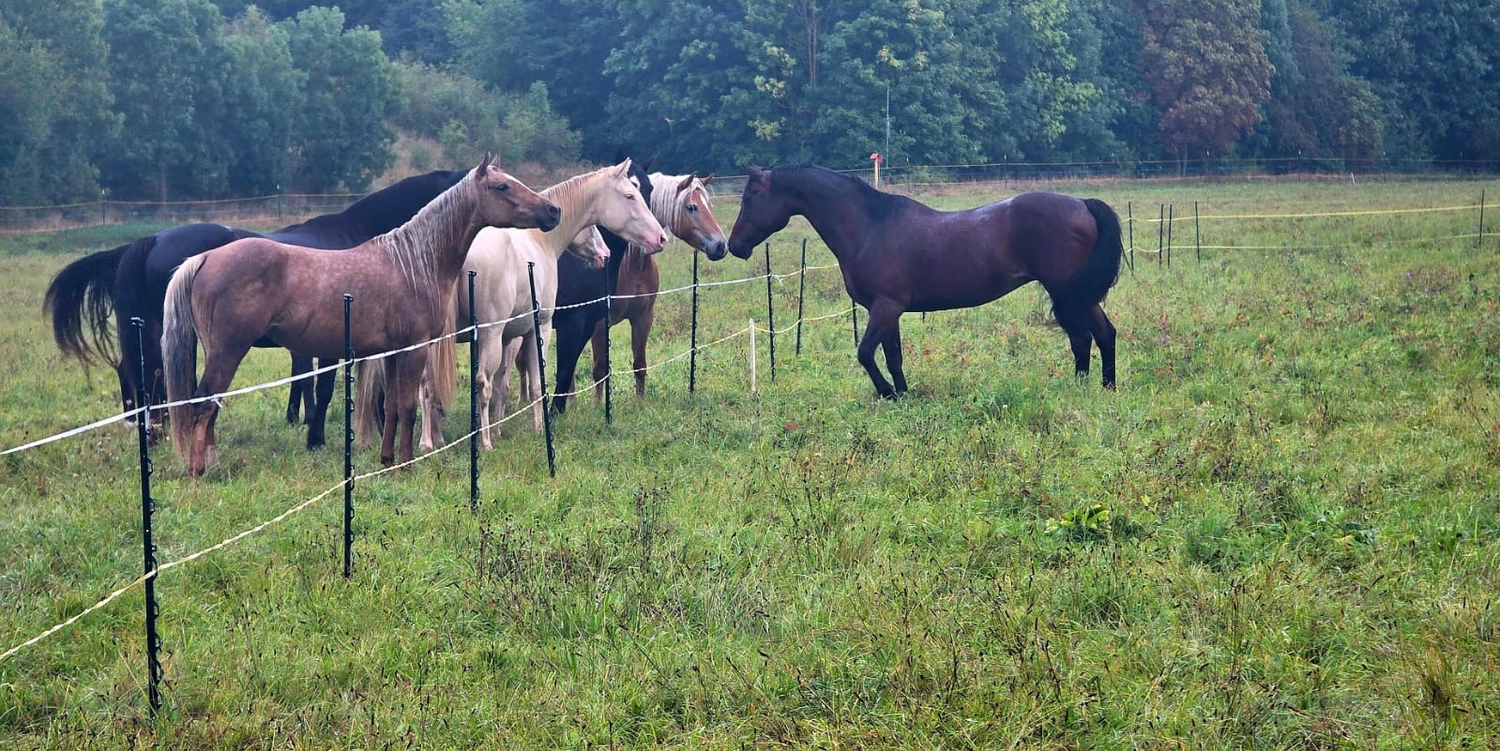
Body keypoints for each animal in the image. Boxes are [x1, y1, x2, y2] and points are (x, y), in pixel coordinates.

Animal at [42, 169, 466, 445]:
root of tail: (151, 240)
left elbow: (314, 383)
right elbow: (329, 386)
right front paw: (319, 434)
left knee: (133, 371)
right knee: (151, 376)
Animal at [161, 154, 560, 475]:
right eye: (502, 186)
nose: (552, 211)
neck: (413, 262)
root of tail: (205, 258)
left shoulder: (394, 352)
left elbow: (394, 407)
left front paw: (386, 460)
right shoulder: (414, 350)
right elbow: (407, 408)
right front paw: (405, 465)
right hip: (227, 352)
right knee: (203, 404)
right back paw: (200, 469)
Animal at [401, 159, 667, 451]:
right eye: (630, 195)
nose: (660, 238)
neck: (539, 243)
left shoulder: (510, 336)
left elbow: (503, 384)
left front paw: (500, 429)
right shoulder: (543, 328)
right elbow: (539, 381)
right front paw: (539, 428)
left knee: (428, 385)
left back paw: (429, 442)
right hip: (488, 335)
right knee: (480, 383)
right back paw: (484, 442)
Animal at [552, 168, 728, 413]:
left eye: (710, 205)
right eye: (691, 207)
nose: (721, 246)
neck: (631, 264)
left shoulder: (643, 317)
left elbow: (640, 364)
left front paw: (641, 402)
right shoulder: (600, 323)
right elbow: (599, 368)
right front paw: (598, 406)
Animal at [726, 164, 1123, 398]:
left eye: (749, 197)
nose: (734, 245)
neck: (870, 226)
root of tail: (1082, 204)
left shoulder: (885, 307)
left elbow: (866, 353)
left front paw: (888, 393)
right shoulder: (889, 311)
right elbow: (893, 356)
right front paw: (903, 394)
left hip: (1068, 294)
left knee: (1085, 337)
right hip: (1076, 296)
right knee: (1099, 335)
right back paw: (1102, 387)